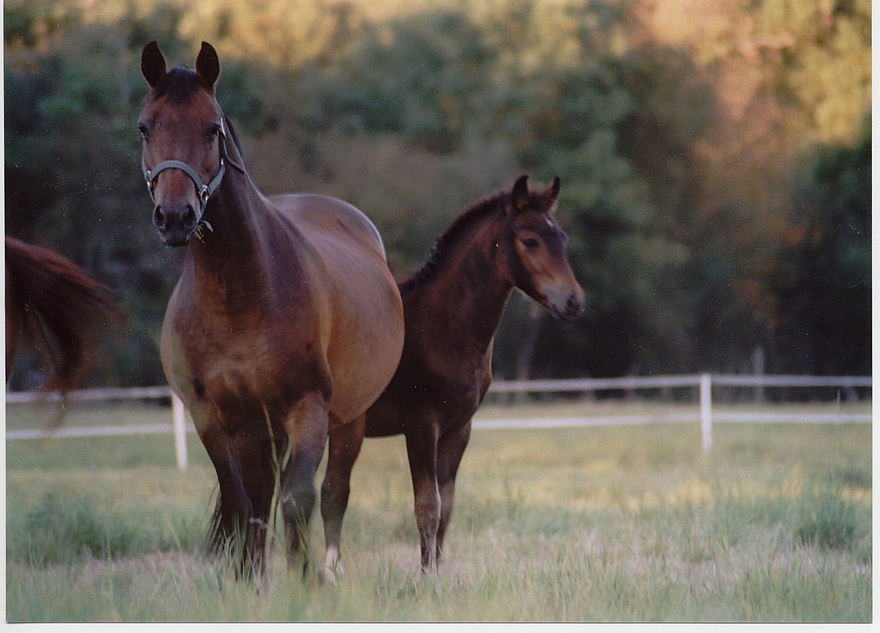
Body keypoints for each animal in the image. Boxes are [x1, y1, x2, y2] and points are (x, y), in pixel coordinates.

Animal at [139, 40, 404, 572]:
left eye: (212, 127)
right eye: (145, 127)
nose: (175, 217)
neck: (238, 299)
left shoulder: (308, 409)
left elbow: (299, 500)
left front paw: (304, 581)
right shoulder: (213, 418)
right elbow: (244, 505)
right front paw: (247, 580)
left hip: (349, 419)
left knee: (333, 493)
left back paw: (330, 571)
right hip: (258, 431)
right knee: (261, 497)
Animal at [322, 175, 584, 576]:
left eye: (563, 239)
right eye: (529, 240)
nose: (573, 301)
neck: (441, 326)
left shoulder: (458, 429)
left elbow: (446, 507)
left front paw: (436, 574)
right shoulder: (421, 426)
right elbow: (427, 506)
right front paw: (425, 580)